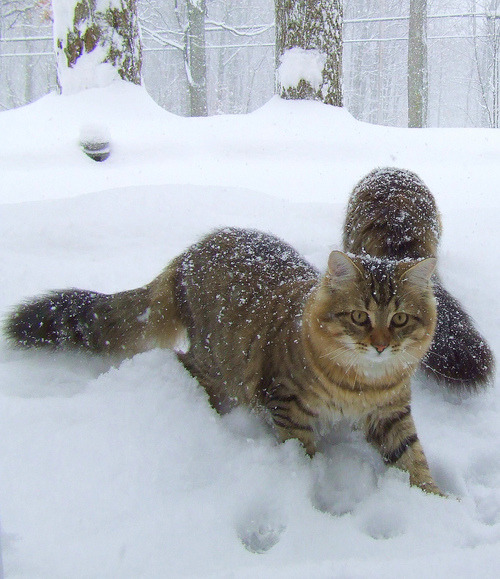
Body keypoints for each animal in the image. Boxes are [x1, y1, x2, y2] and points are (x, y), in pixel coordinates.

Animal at [3, 227, 442, 494]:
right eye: (359, 317)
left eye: (399, 319)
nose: (381, 345)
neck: (361, 384)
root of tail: (187, 254)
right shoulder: (287, 403)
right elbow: (302, 451)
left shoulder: (391, 413)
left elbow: (413, 458)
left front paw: (434, 503)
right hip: (217, 363)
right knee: (184, 365)